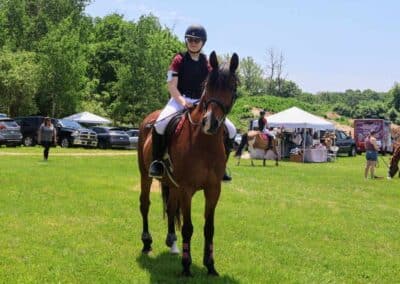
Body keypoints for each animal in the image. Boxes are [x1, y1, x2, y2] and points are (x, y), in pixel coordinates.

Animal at [138, 50, 238, 276]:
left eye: (232, 88)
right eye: (207, 85)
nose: (211, 123)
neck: (204, 143)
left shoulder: (213, 189)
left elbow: (209, 228)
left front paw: (210, 265)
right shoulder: (187, 189)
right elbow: (188, 227)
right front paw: (186, 265)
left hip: (173, 185)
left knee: (171, 207)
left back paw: (172, 242)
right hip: (146, 175)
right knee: (145, 204)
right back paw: (147, 243)